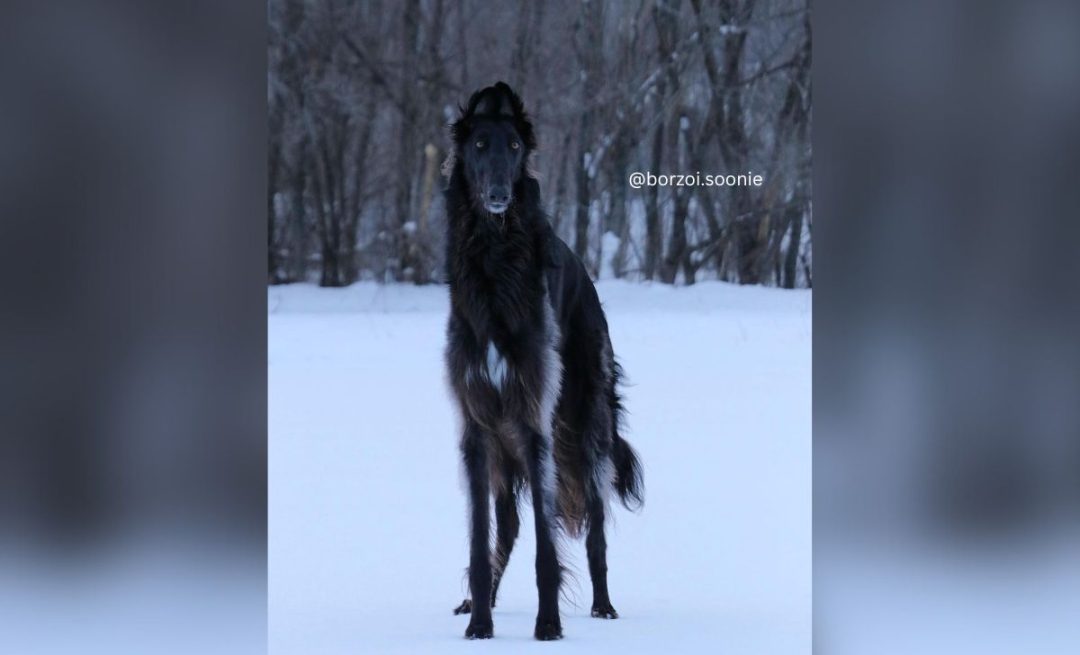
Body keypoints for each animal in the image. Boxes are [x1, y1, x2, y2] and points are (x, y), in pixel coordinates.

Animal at [444, 82, 639, 639]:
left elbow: (548, 549)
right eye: (480, 146)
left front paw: (548, 624)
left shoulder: (535, 425)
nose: (498, 196)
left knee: (595, 528)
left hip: (587, 427)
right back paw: (480, 600)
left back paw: (604, 605)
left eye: (513, 147)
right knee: (506, 528)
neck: (494, 265)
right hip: (503, 452)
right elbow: (480, 539)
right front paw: (480, 624)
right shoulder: (477, 429)